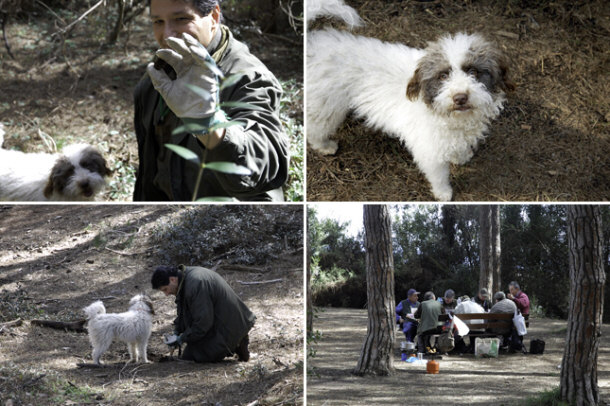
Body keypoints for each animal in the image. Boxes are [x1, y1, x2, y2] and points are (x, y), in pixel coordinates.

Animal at [306, 0, 510, 201]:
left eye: (473, 72)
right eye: (443, 76)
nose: (460, 97)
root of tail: (312, 43)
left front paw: (460, 156)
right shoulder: (428, 150)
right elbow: (439, 175)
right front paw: (443, 193)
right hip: (324, 107)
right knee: (314, 130)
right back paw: (324, 146)